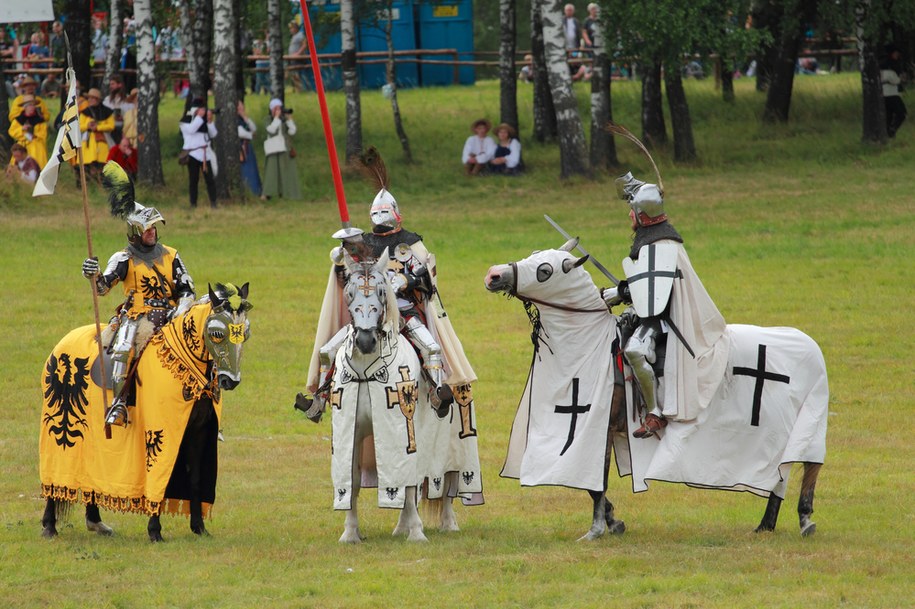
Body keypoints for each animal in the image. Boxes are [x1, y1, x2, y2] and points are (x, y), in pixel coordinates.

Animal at [486, 241, 832, 536]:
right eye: (533, 255)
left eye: (545, 270)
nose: (494, 274)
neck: (586, 344)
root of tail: (811, 347)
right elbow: (592, 485)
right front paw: (613, 522)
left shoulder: (593, 427)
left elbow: (594, 483)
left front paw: (597, 529)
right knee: (781, 472)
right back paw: (765, 525)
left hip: (806, 423)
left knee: (809, 465)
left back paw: (805, 520)